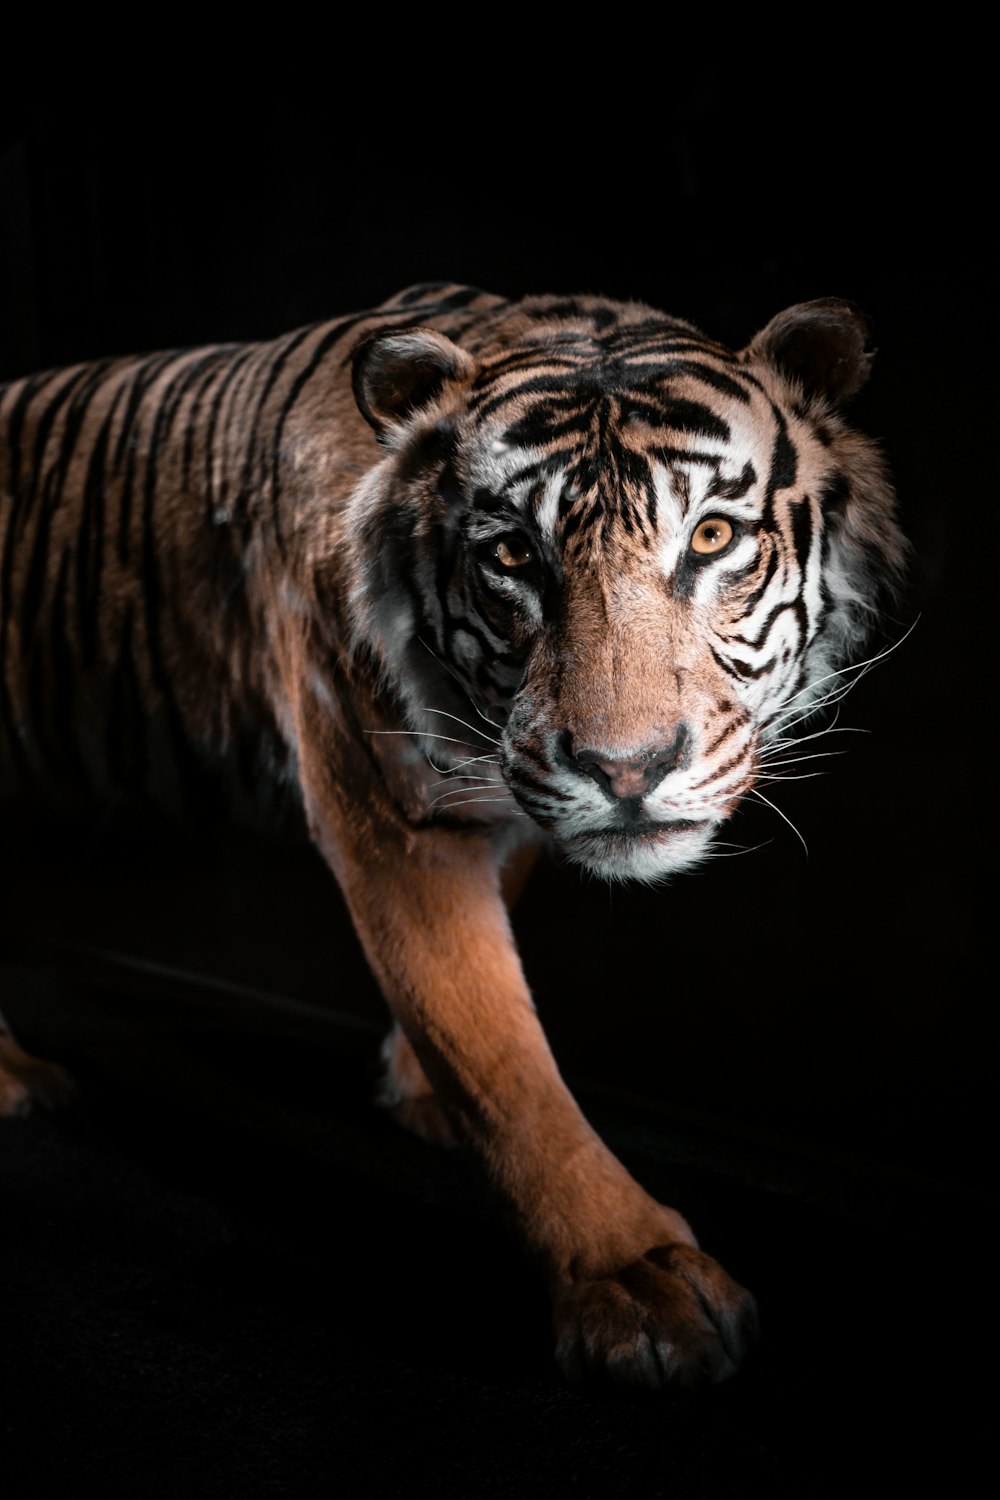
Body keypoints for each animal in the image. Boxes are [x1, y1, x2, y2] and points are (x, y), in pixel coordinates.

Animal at [0, 279, 905, 1380]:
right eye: (512, 554)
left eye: (712, 539)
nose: (628, 768)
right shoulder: (396, 818)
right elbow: (492, 1044)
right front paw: (632, 1278)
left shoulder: (501, 798)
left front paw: (416, 1089)